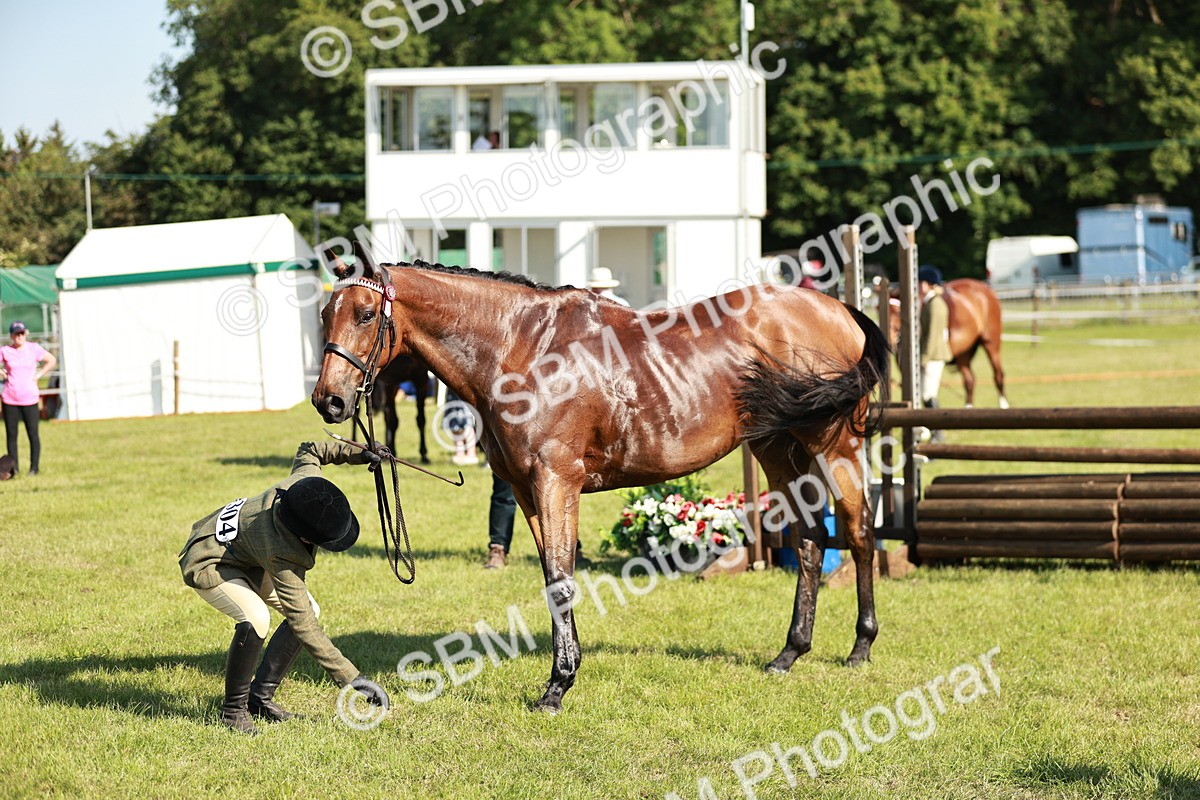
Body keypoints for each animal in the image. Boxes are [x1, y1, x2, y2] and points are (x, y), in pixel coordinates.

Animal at [313, 244, 890, 713]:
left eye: (366, 314)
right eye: (324, 314)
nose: (328, 401)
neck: (522, 347)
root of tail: (838, 308)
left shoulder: (555, 483)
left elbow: (561, 580)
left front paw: (557, 686)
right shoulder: (526, 491)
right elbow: (553, 578)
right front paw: (562, 675)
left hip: (835, 444)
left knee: (859, 530)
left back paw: (861, 646)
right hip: (777, 448)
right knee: (811, 539)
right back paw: (790, 653)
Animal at [889, 278, 1008, 408]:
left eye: (897, 313)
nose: (890, 343)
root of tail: (985, 288)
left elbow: (928, 397)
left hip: (991, 343)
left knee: (998, 376)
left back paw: (1004, 406)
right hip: (963, 353)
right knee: (969, 381)